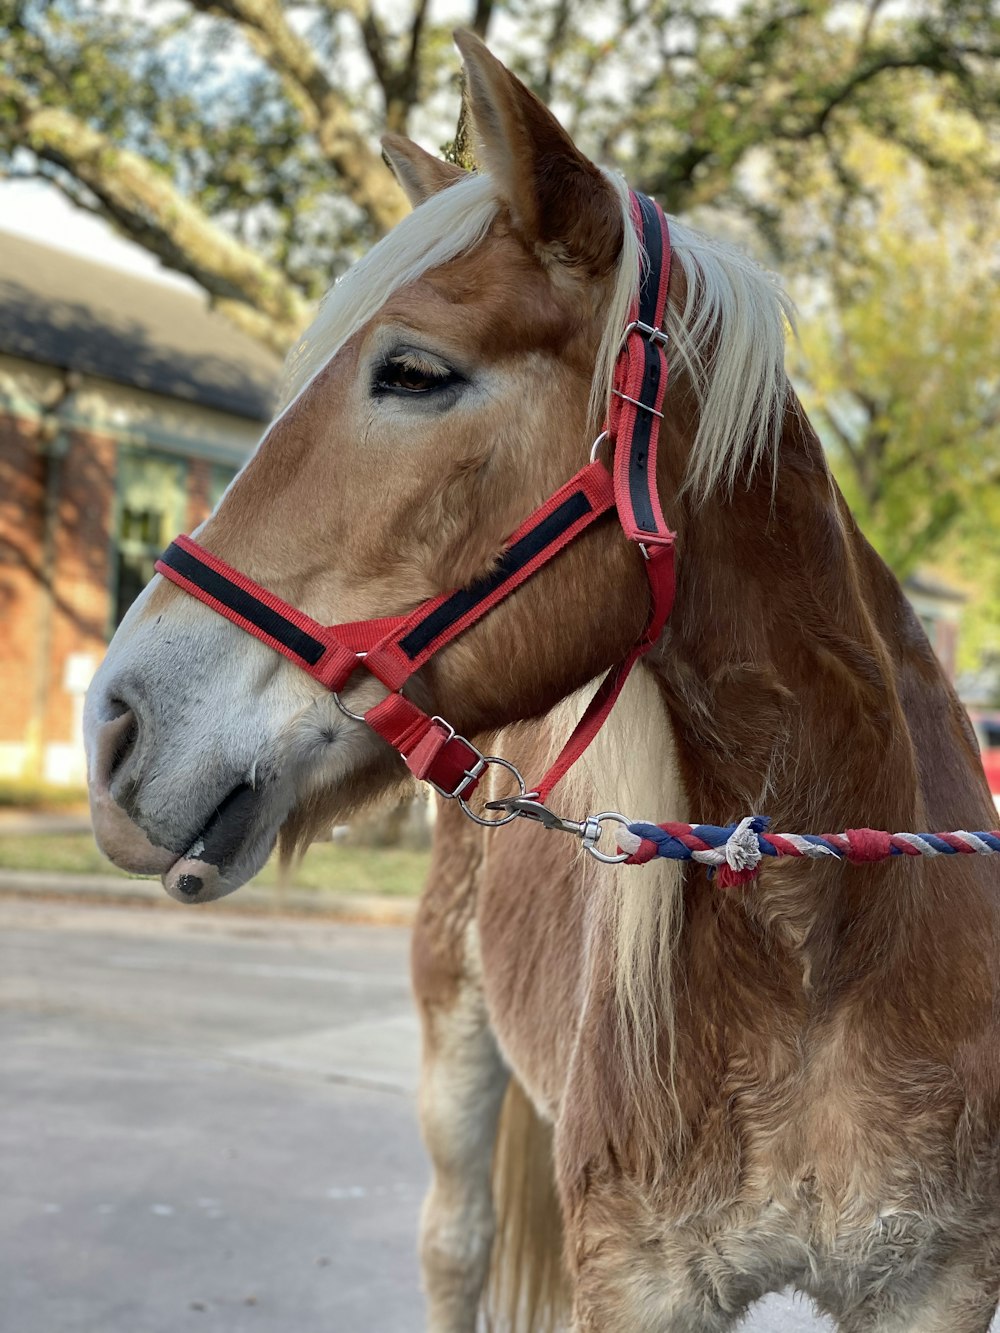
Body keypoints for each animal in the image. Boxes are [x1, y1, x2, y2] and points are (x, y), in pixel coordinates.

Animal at [84, 28, 1000, 1333]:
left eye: (414, 372)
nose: (115, 726)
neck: (820, 936)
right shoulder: (638, 1280)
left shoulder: (933, 1283)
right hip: (454, 1066)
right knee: (455, 1247)